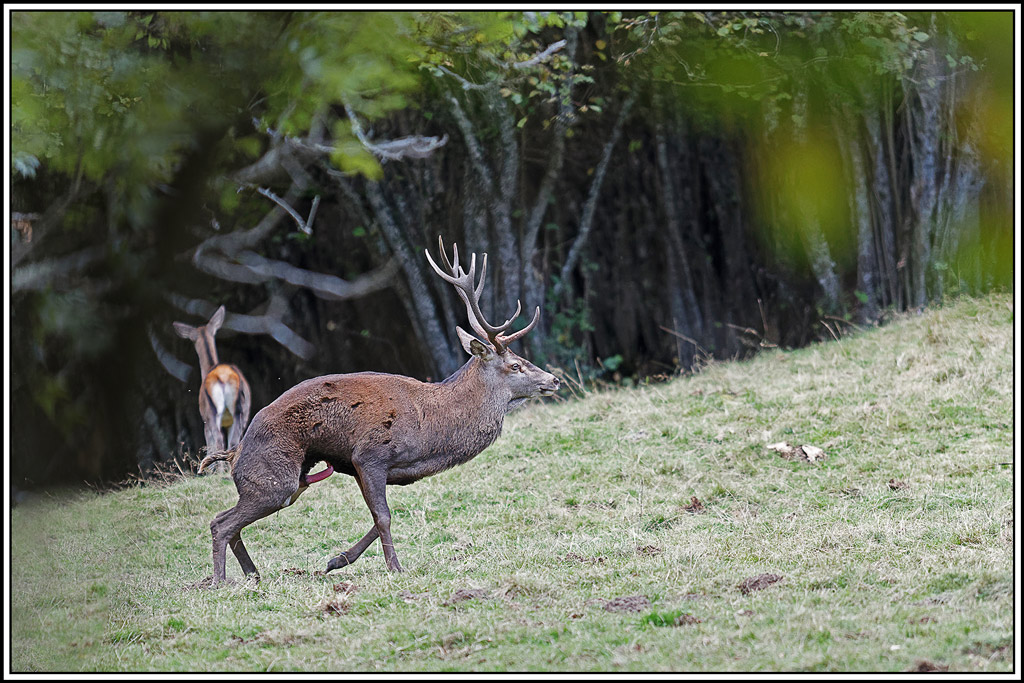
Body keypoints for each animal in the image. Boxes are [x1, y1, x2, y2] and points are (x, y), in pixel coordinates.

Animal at [173, 306, 252, 466]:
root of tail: (223, 376)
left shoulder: (205, 420)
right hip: (241, 410)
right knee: (234, 442)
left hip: (212, 413)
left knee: (218, 441)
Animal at [196, 237, 559, 584]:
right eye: (515, 365)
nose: (553, 379)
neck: (429, 435)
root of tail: (235, 452)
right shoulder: (369, 454)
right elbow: (383, 516)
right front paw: (395, 568)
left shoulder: (372, 467)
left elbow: (378, 516)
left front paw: (336, 560)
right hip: (275, 476)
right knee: (220, 522)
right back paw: (219, 581)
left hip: (295, 480)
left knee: (229, 521)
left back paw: (252, 575)